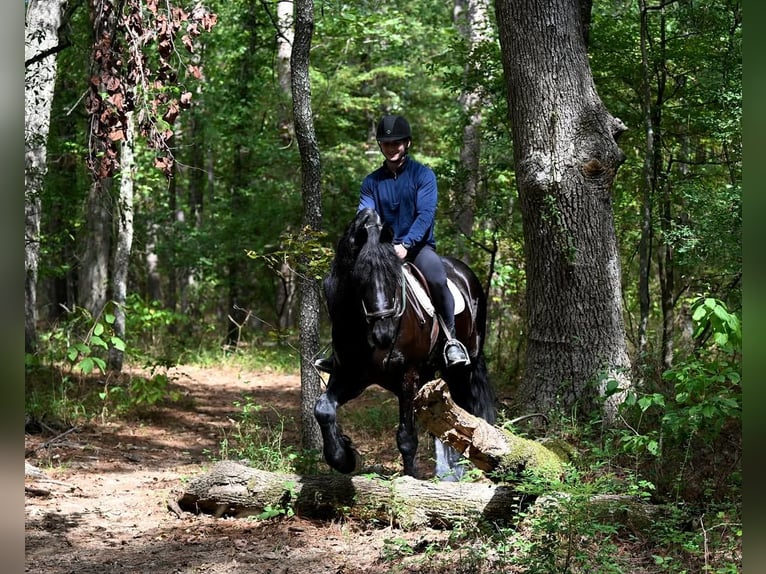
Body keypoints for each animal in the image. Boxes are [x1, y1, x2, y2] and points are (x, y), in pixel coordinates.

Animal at [314, 208, 497, 480]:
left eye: (394, 276)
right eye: (359, 278)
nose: (384, 334)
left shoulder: (407, 376)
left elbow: (407, 437)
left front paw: (410, 480)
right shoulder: (350, 375)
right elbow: (323, 409)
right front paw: (344, 457)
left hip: (464, 367)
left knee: (466, 410)